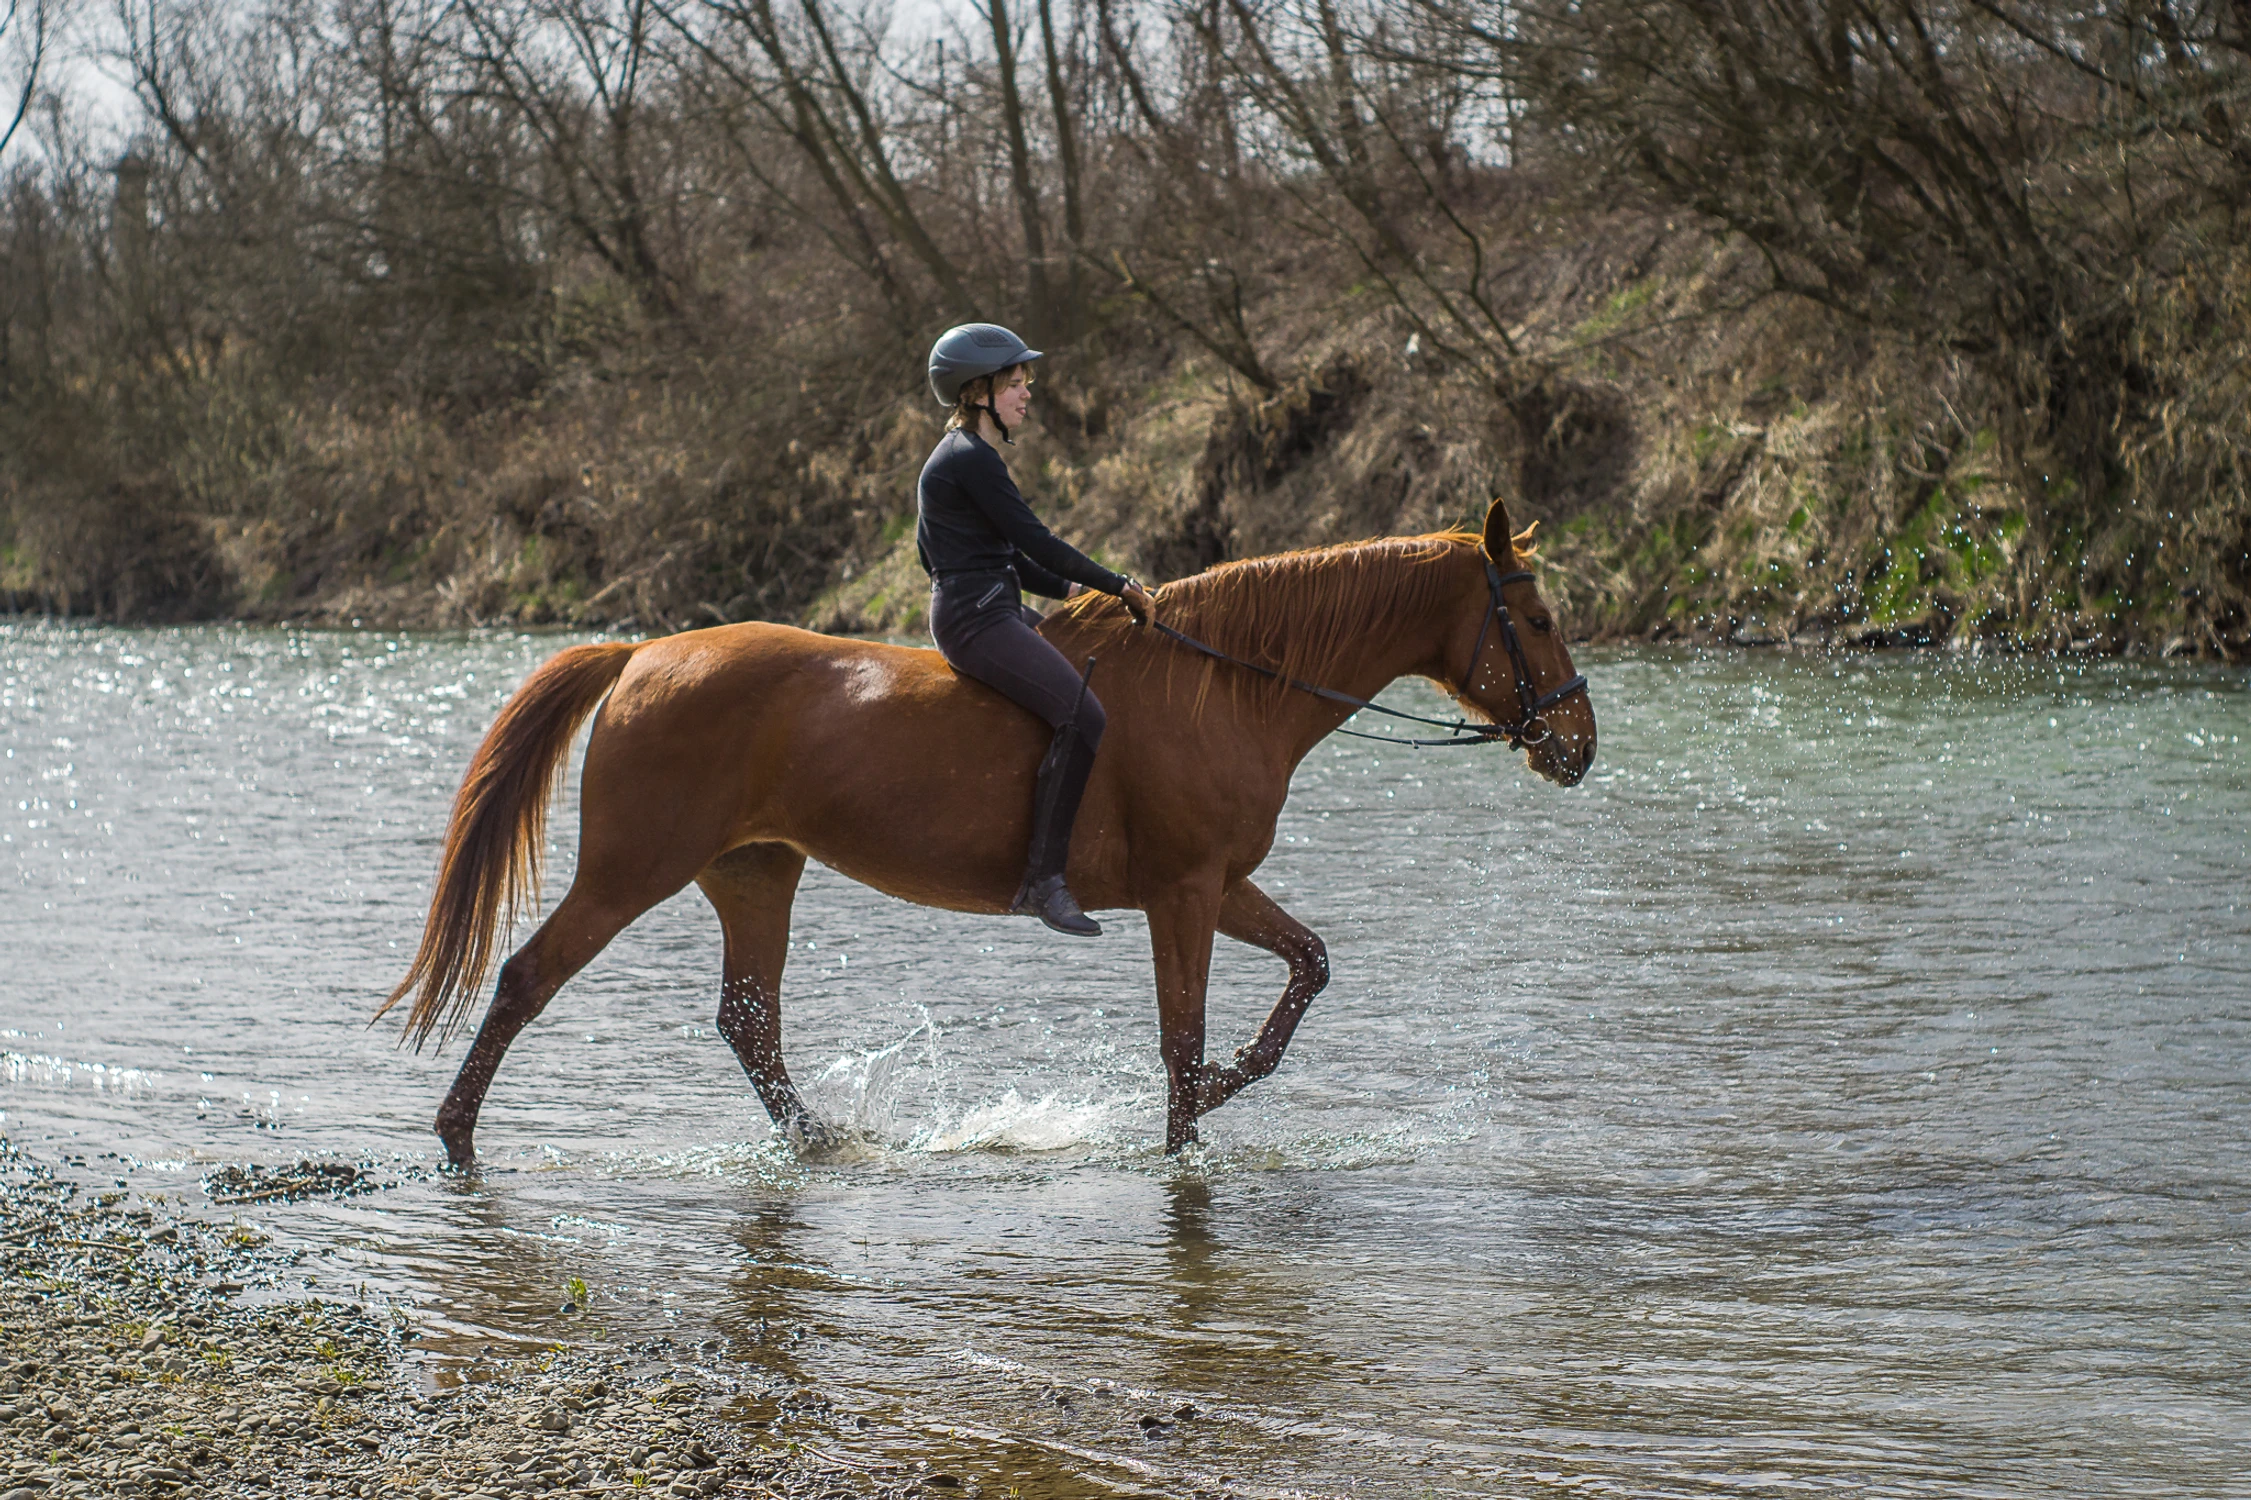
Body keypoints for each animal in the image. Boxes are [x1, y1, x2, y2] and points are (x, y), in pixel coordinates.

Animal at [378, 495, 1593, 1162]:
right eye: (1534, 618)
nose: (1575, 746)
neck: (1226, 686)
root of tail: (642, 654)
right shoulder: (1183, 892)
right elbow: (1184, 1033)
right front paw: (1184, 1138)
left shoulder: (1218, 886)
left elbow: (1307, 969)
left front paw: (1219, 1095)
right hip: (634, 869)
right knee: (528, 979)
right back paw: (454, 1137)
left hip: (755, 873)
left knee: (747, 1023)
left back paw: (823, 1144)